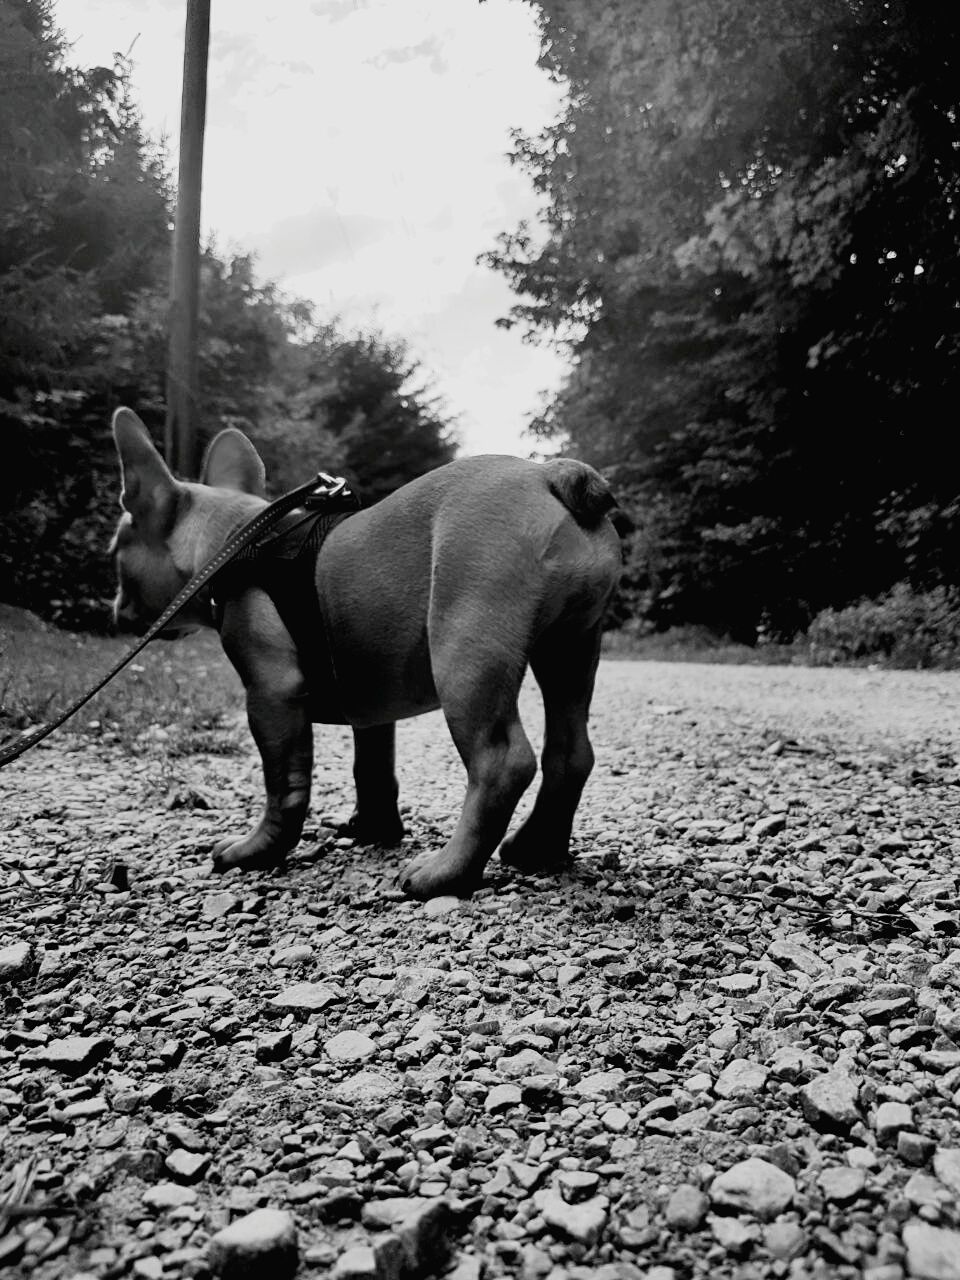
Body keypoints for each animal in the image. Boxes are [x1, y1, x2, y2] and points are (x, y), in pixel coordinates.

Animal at [110, 409, 624, 901]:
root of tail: (549, 476)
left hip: (465, 649)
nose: (115, 605)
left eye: (117, 550)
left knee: (502, 762)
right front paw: (375, 830)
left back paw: (446, 872)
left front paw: (258, 850)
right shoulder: (371, 707)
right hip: (571, 647)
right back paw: (536, 847)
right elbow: (372, 769)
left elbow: (284, 785)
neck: (238, 540)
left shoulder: (271, 694)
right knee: (570, 752)